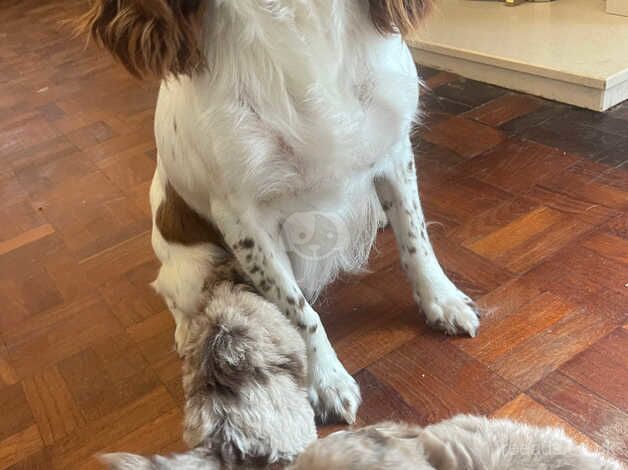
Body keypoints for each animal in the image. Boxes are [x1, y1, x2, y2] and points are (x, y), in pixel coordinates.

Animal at [81, 0, 478, 426]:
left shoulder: (393, 148)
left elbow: (416, 241)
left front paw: (443, 301)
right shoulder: (243, 217)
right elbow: (298, 309)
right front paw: (326, 380)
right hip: (195, 269)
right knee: (174, 297)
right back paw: (187, 332)